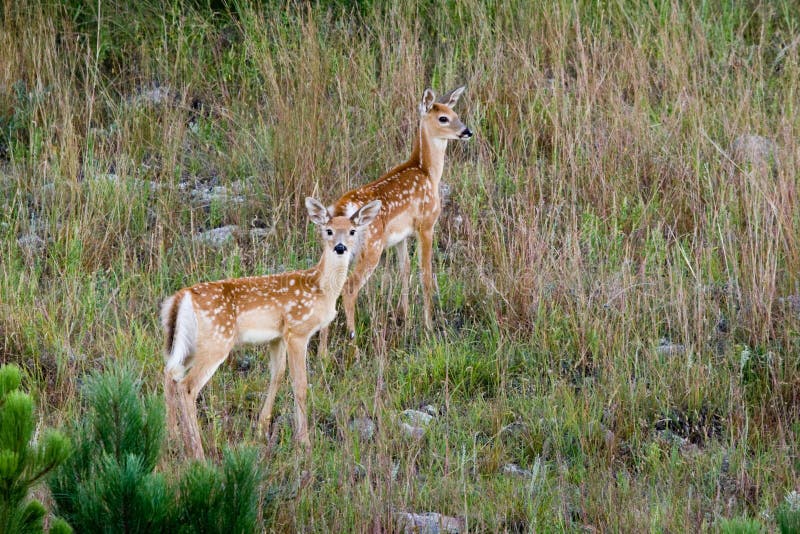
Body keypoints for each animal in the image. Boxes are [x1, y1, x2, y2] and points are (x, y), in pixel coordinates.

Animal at [161, 197, 382, 459]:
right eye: (328, 230)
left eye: (352, 231)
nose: (340, 248)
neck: (320, 289)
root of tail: (181, 297)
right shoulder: (297, 330)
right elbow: (300, 384)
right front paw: (304, 442)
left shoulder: (277, 337)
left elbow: (277, 375)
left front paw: (261, 429)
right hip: (216, 341)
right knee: (187, 386)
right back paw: (197, 452)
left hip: (189, 344)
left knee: (170, 374)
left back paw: (173, 438)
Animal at [318, 86, 472, 357]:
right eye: (443, 118)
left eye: (456, 113)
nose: (467, 131)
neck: (427, 172)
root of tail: (343, 208)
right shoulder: (426, 225)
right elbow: (425, 273)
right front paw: (428, 325)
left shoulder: (401, 237)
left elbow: (405, 270)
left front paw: (406, 317)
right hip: (372, 247)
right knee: (349, 288)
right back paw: (353, 343)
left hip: (340, 249)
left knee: (331, 286)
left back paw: (323, 353)